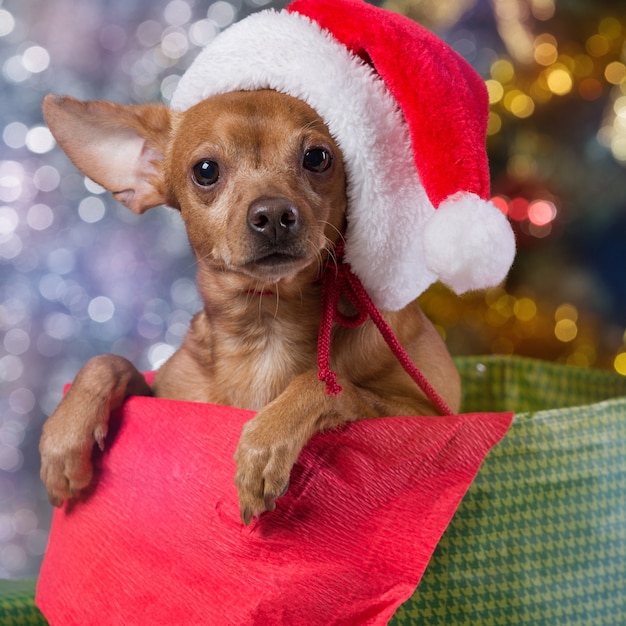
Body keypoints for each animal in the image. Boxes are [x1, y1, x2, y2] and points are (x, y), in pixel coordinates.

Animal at [39, 89, 458, 520]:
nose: (273, 213)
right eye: (206, 170)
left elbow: (326, 384)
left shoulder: (428, 417)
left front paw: (266, 441)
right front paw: (64, 435)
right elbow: (109, 362)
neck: (266, 322)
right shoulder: (165, 396)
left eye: (317, 158)